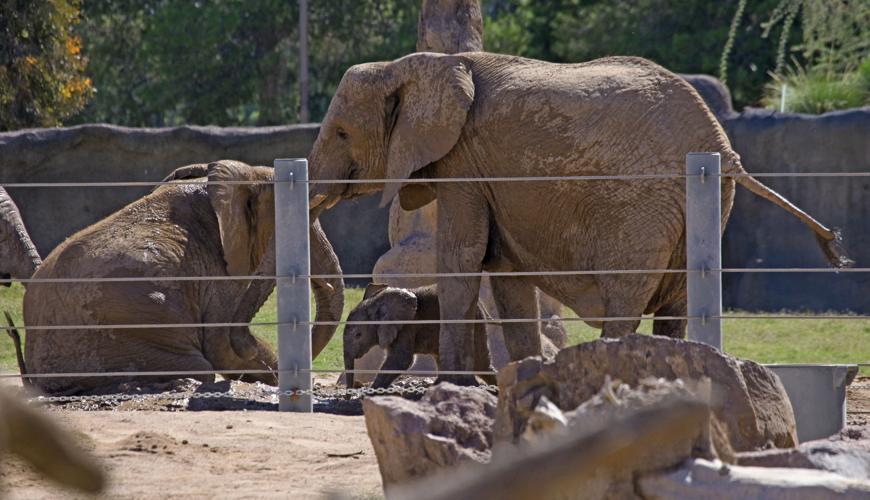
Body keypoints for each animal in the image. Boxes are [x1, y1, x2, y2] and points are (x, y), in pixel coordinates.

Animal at [343, 283, 496, 390]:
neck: (377, 301)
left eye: (358, 335)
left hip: (473, 322)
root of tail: (480, 303)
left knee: (480, 364)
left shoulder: (407, 326)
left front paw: (370, 392)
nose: (349, 394)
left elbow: (401, 360)